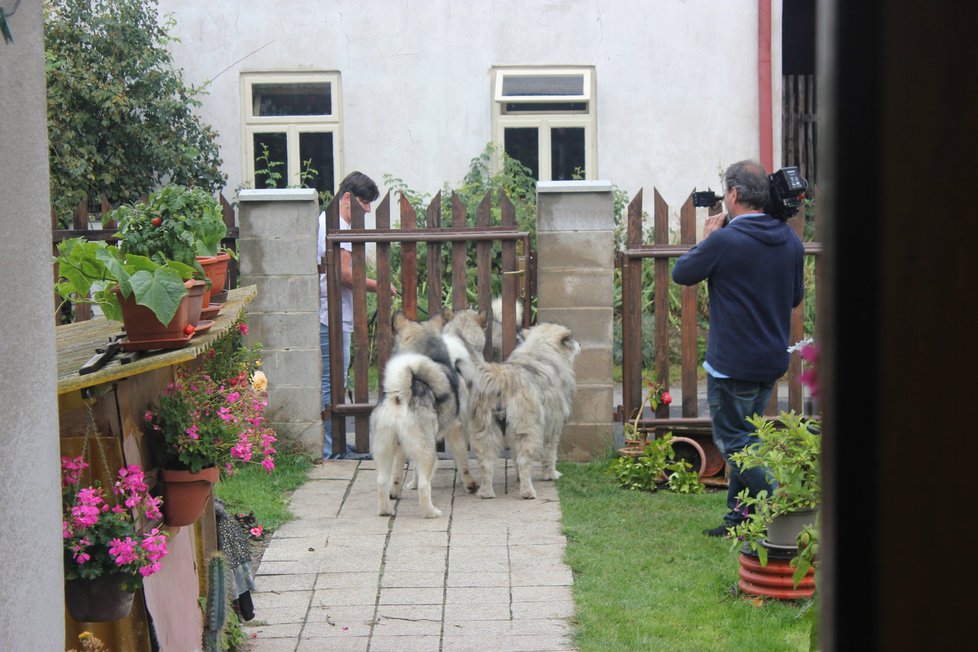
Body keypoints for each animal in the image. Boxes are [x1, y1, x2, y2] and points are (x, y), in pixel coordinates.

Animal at [468, 324, 580, 500]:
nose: (579, 344)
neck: (540, 351)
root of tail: (501, 379)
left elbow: (514, 456)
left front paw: (518, 477)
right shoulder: (553, 427)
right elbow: (550, 454)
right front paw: (551, 475)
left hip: (485, 432)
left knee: (486, 463)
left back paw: (486, 492)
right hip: (526, 430)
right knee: (524, 461)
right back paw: (528, 492)